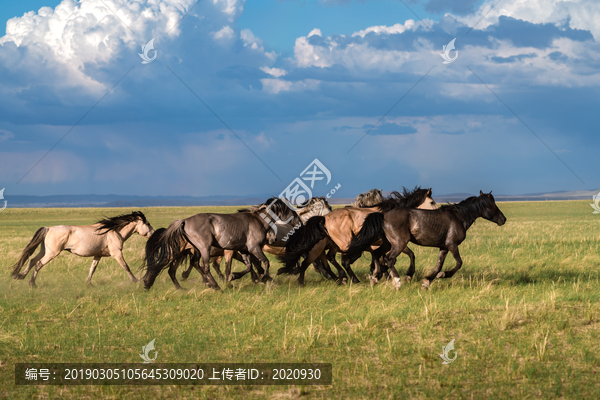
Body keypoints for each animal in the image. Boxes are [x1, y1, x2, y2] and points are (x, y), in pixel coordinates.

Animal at [11, 212, 155, 288]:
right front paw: (136, 280)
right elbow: (126, 267)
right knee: (38, 264)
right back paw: (32, 283)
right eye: (147, 224)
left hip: (44, 251)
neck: (114, 232)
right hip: (52, 253)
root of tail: (49, 228)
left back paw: (21, 276)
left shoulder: (98, 256)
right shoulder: (117, 254)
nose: (154, 233)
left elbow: (92, 269)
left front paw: (88, 283)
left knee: (32, 261)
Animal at [141, 198, 300, 290]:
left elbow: (249, 266)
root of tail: (184, 221)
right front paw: (264, 278)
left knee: (178, 268)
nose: (299, 222)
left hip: (187, 252)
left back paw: (181, 287)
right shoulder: (253, 248)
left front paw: (233, 277)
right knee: (203, 267)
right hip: (201, 248)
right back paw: (215, 286)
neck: (258, 220)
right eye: (291, 211)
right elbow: (265, 262)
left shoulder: (243, 250)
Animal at [278, 186, 438, 286]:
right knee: (321, 262)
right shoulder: (389, 244)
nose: (438, 213)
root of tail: (324, 218)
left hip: (334, 245)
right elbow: (406, 255)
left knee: (328, 259)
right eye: (431, 202)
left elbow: (385, 259)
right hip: (334, 245)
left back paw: (340, 278)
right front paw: (404, 274)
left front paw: (380, 274)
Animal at [346, 191, 506, 290]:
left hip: (386, 243)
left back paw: (375, 278)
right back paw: (397, 282)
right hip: (399, 244)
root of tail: (383, 215)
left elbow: (438, 265)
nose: (503, 219)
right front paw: (444, 275)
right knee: (389, 258)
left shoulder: (444, 247)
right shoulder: (452, 245)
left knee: (377, 255)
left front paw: (427, 282)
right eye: (492, 205)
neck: (459, 217)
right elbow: (458, 263)